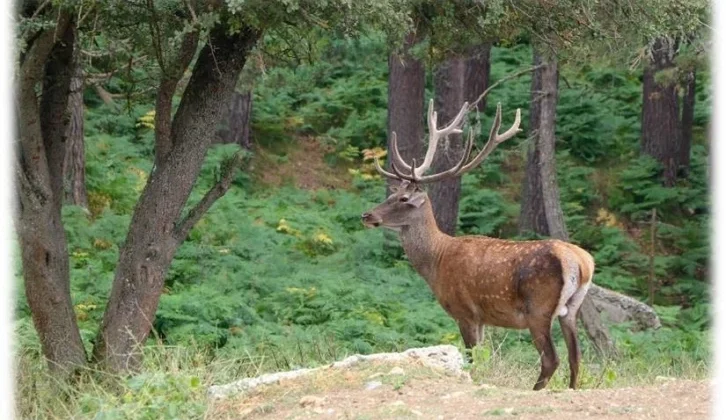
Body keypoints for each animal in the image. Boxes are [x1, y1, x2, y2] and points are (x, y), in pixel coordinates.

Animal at [362, 99, 596, 390]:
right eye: (393, 194)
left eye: (403, 199)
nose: (367, 215)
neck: (436, 261)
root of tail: (582, 263)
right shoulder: (484, 318)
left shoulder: (465, 312)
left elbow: (472, 358)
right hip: (571, 310)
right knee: (577, 358)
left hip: (539, 308)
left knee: (552, 359)